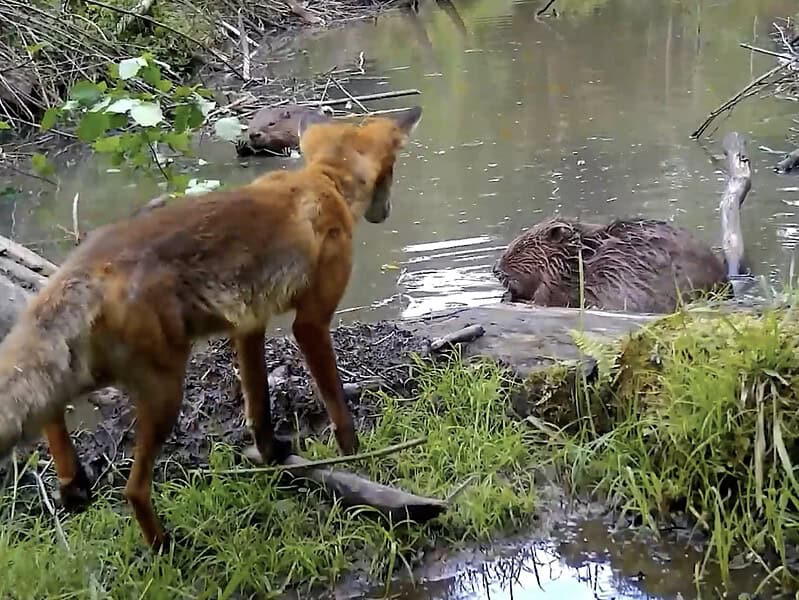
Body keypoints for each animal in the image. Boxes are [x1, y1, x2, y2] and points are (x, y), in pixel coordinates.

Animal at [0, 106, 424, 548]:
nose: (386, 211)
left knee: (50, 412)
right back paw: (164, 546)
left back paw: (72, 484)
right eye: (392, 171)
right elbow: (335, 399)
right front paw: (352, 450)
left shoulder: (249, 326)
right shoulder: (311, 321)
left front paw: (271, 452)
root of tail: (84, 265)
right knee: (133, 489)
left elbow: (258, 405)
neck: (323, 181)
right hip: (163, 390)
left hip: (96, 370)